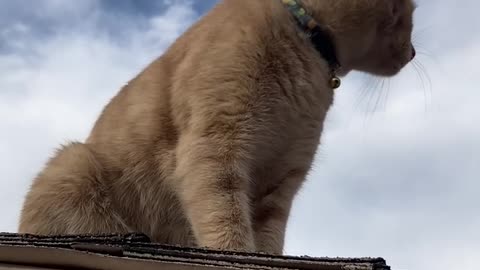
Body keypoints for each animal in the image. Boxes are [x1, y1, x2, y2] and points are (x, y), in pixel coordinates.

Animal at [17, 0, 416, 254]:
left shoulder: (280, 183)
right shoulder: (214, 150)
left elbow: (267, 242)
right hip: (72, 163)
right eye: (409, 12)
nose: (413, 52)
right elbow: (226, 225)